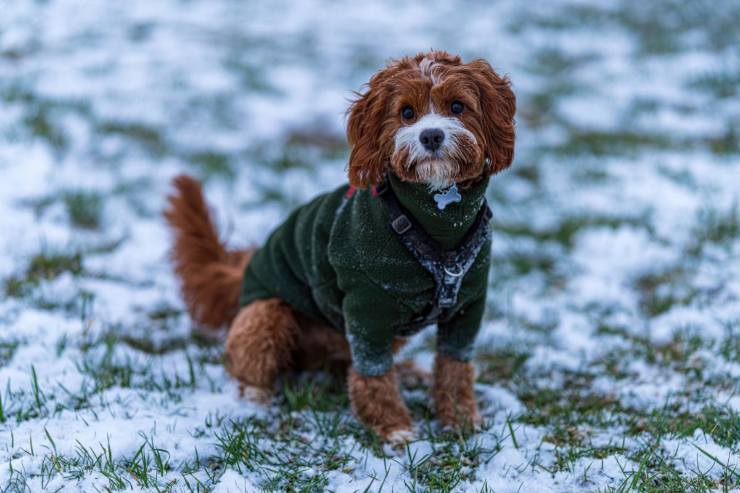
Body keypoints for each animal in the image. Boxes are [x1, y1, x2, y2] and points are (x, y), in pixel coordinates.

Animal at [165, 51, 516, 446]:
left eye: (457, 106)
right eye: (407, 112)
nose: (431, 135)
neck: (437, 218)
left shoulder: (468, 304)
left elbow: (455, 365)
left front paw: (460, 419)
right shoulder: (368, 304)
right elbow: (373, 372)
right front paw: (392, 426)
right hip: (265, 313)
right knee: (249, 362)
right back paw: (255, 396)